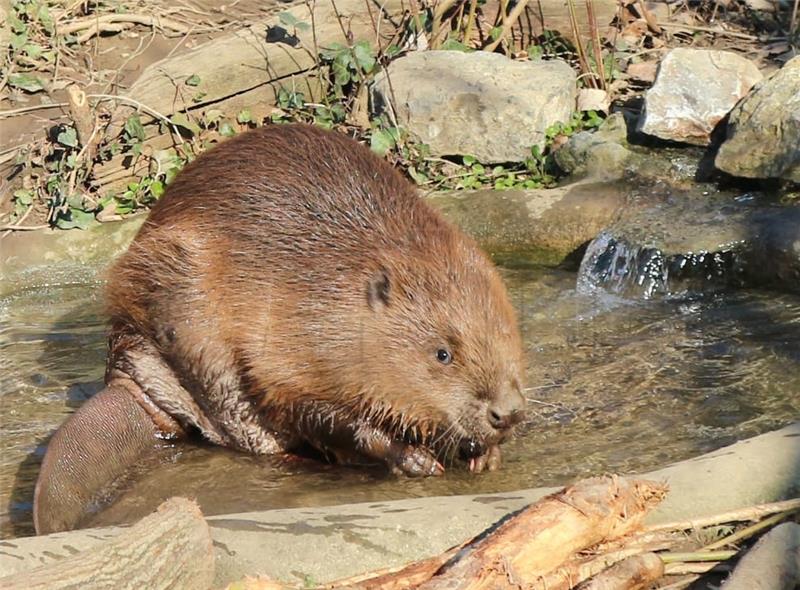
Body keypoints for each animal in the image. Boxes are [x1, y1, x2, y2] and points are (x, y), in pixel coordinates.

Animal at [34, 123, 528, 536]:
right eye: (443, 353)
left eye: (508, 336)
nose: (506, 413)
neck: (332, 288)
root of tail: (130, 385)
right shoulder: (279, 344)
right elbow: (322, 413)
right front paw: (416, 460)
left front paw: (485, 456)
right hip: (190, 330)